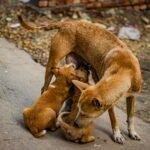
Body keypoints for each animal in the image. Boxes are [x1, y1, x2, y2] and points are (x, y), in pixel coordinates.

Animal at [18, 15, 142, 144]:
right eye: (81, 113)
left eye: (86, 115)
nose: (76, 124)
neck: (125, 68)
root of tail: (67, 23)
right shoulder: (109, 103)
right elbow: (114, 118)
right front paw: (117, 134)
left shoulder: (132, 95)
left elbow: (131, 116)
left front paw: (132, 132)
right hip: (53, 64)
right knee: (44, 88)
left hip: (72, 67)